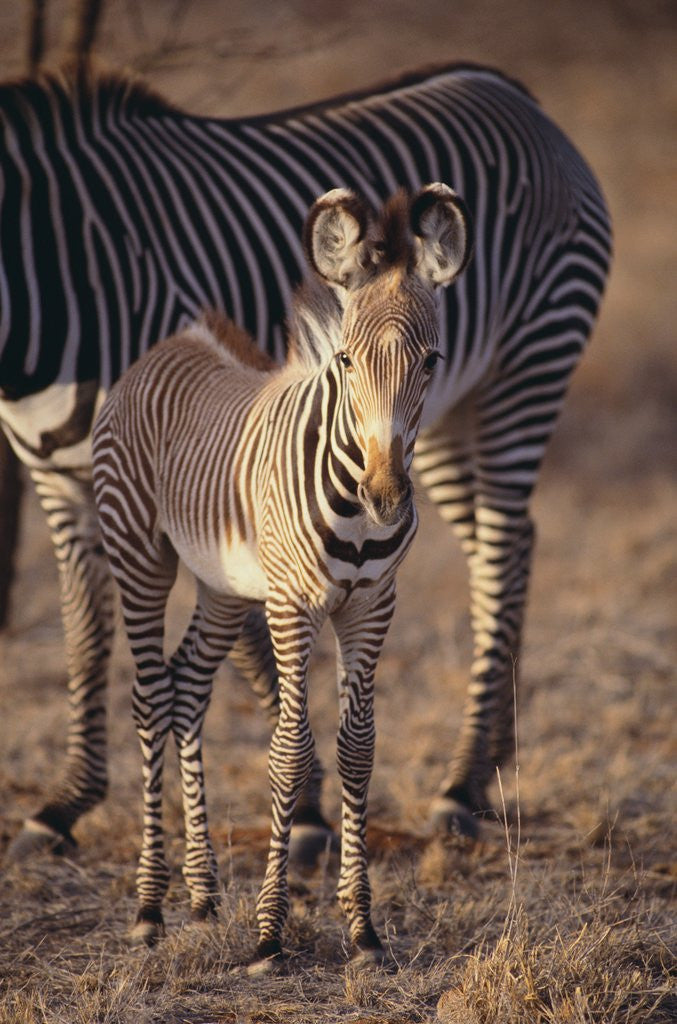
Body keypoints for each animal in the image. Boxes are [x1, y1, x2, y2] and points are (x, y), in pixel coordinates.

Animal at [1, 61, 611, 860]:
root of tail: (512, 92)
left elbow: (250, 643)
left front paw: (312, 807)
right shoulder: (66, 482)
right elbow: (84, 636)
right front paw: (66, 801)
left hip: (526, 367)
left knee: (503, 552)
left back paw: (460, 783)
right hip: (447, 422)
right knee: (504, 544)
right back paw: (491, 763)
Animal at [92, 184, 471, 966]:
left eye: (431, 361)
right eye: (348, 362)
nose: (387, 495)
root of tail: (175, 342)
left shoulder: (371, 605)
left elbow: (357, 749)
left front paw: (362, 928)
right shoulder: (293, 605)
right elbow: (290, 751)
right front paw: (270, 932)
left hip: (221, 586)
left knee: (186, 688)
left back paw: (202, 895)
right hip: (140, 554)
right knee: (149, 698)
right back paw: (149, 906)